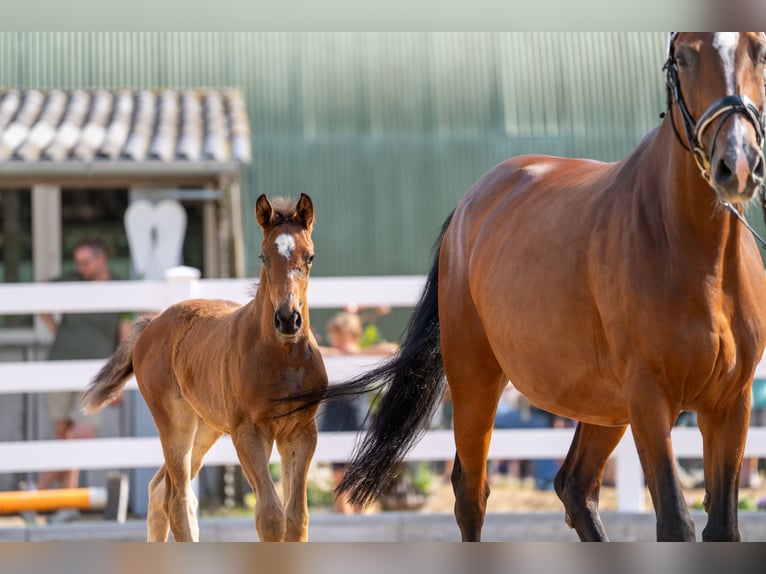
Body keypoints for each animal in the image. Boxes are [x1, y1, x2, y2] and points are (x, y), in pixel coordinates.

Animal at [82, 193, 327, 542]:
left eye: (310, 257)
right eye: (264, 257)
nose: (287, 319)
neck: (284, 358)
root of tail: (151, 324)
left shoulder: (301, 432)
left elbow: (296, 519)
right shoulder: (248, 432)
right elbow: (270, 516)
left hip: (206, 427)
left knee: (161, 490)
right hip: (175, 422)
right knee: (177, 498)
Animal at [293, 33, 766, 541]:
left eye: (758, 50)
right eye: (683, 57)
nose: (737, 164)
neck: (698, 256)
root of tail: (472, 201)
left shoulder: (731, 404)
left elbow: (723, 527)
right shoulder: (650, 399)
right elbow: (676, 520)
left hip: (606, 406)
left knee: (574, 486)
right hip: (477, 379)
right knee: (472, 493)